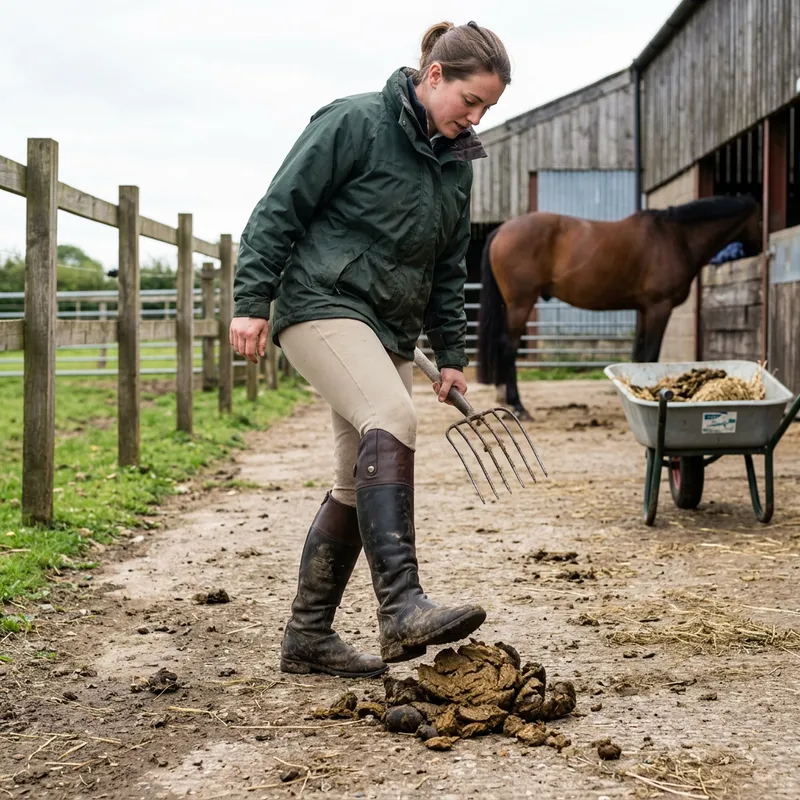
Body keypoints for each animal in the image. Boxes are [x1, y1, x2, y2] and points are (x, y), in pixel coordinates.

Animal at [476, 195, 762, 419]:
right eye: (760, 220)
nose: (758, 249)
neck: (676, 237)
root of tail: (501, 230)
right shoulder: (659, 307)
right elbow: (650, 355)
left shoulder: (644, 310)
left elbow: (639, 355)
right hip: (520, 304)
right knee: (509, 348)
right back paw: (518, 406)